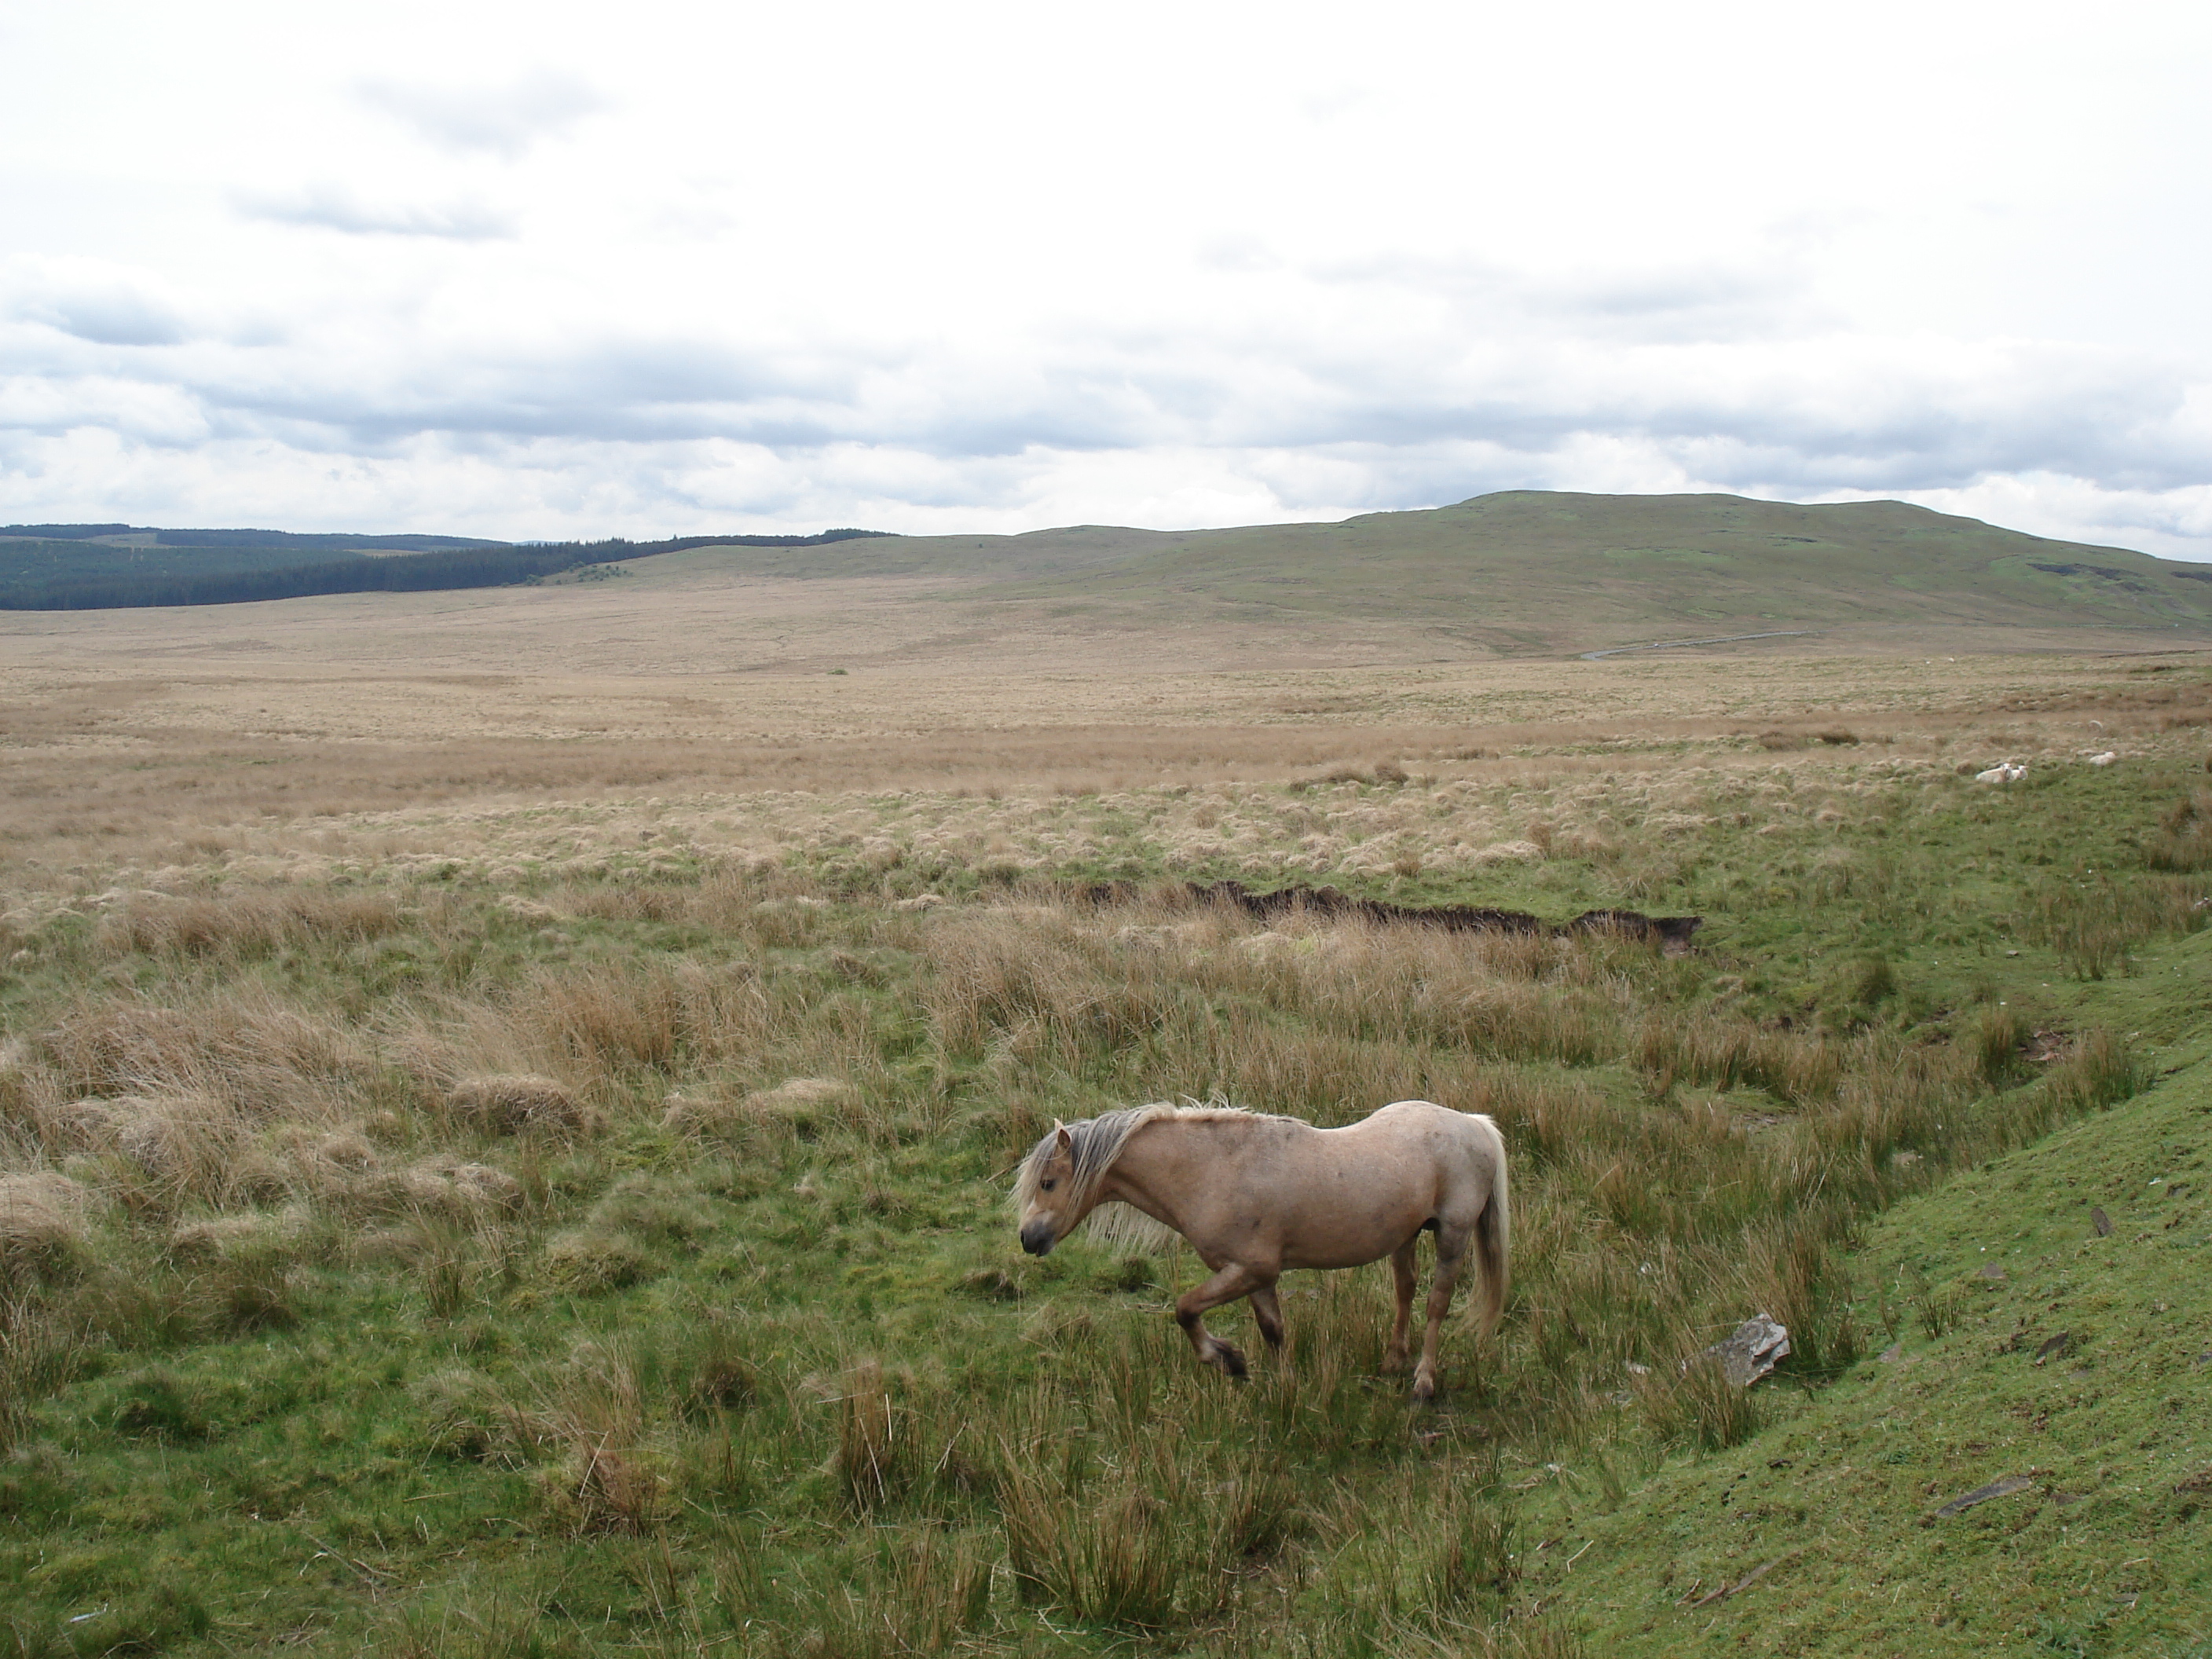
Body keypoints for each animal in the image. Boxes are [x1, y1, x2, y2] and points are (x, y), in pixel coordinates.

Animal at [1013, 1106, 1503, 1406]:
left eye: (1048, 1183)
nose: (1027, 1238)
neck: (1212, 1172)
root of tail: (1472, 1123)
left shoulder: (1249, 1270)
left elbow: (1185, 1309)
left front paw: (1227, 1359)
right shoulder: (1256, 1276)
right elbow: (1273, 1330)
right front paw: (1281, 1385)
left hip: (1453, 1235)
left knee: (1436, 1304)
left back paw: (1423, 1381)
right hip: (1405, 1236)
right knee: (1405, 1291)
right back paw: (1393, 1362)